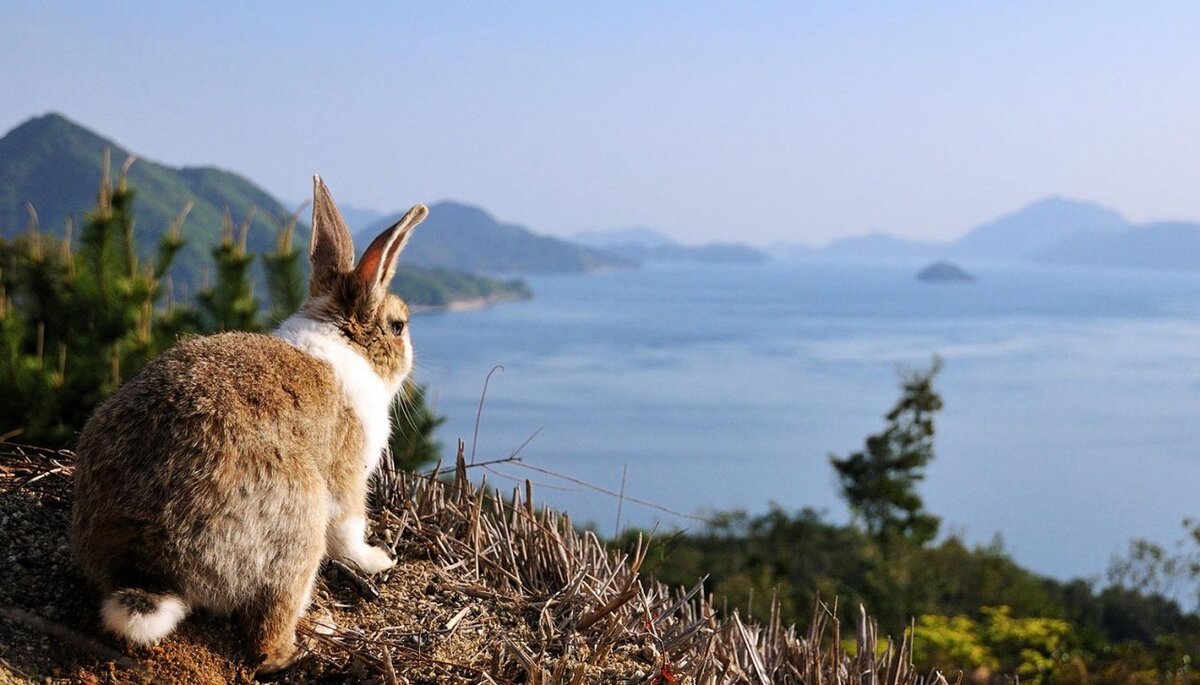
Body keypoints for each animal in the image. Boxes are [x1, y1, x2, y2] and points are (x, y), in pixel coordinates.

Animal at [70, 176, 427, 676]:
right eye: (398, 326)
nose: (410, 357)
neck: (341, 337)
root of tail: (153, 558)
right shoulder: (348, 478)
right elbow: (350, 530)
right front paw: (376, 559)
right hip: (300, 525)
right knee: (268, 634)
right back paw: (306, 644)